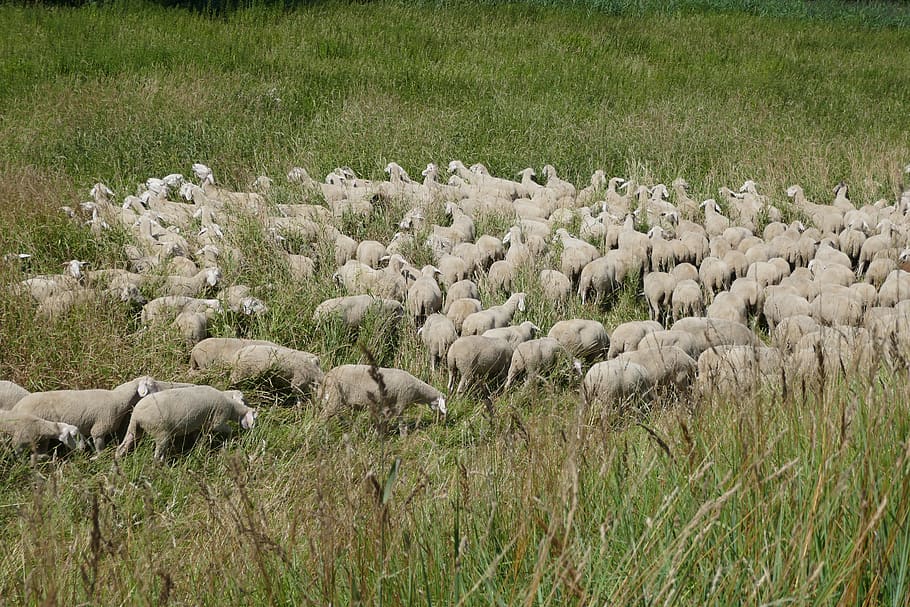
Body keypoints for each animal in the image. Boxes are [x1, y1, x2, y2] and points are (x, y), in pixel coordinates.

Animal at [116, 388, 256, 464]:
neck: (231, 406)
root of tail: (137, 413)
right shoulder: (218, 421)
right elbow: (228, 429)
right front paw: (232, 439)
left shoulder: (203, 425)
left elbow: (200, 438)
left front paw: (199, 449)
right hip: (160, 432)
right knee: (157, 456)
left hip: (135, 429)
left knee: (122, 447)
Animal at [320, 364, 448, 420]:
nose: (442, 418)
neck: (417, 390)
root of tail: (328, 375)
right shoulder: (401, 401)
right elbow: (401, 421)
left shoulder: (389, 403)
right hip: (334, 396)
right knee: (325, 416)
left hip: (329, 396)